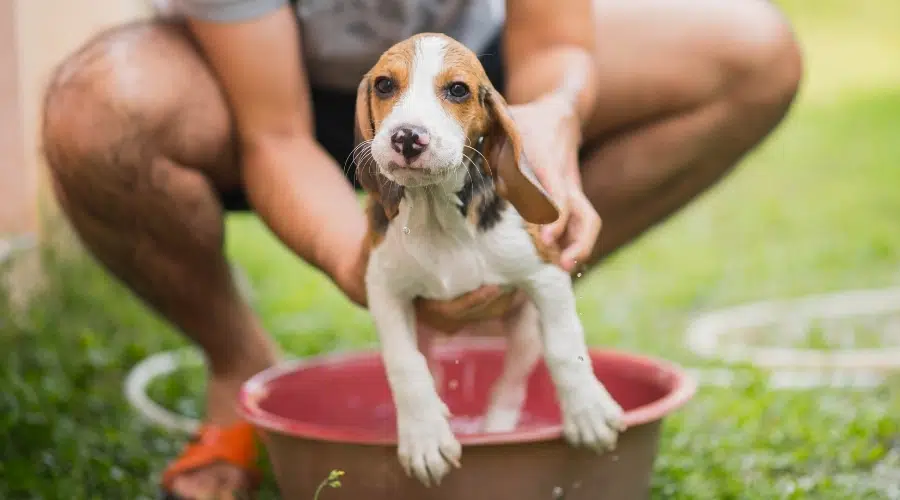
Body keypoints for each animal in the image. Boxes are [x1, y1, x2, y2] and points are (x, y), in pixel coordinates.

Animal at [354, 33, 624, 486]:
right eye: (385, 85)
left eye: (457, 90)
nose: (408, 137)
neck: (437, 215)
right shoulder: (384, 290)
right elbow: (405, 365)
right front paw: (424, 437)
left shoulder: (545, 273)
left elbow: (565, 346)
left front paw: (587, 412)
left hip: (525, 330)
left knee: (510, 385)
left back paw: (498, 429)